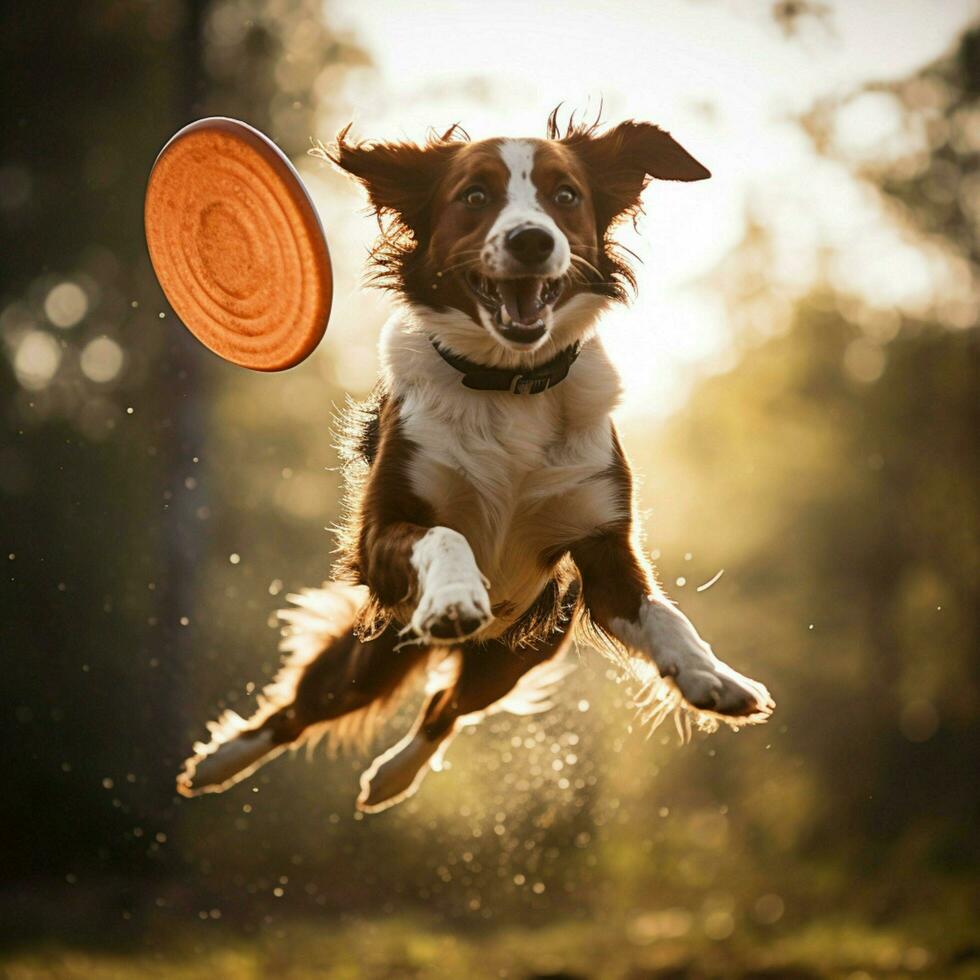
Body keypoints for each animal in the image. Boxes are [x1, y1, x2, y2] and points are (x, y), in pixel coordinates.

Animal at [176, 111, 772, 812]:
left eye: (566, 194)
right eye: (475, 195)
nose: (531, 241)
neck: (508, 384)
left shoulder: (605, 556)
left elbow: (666, 616)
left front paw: (713, 677)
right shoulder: (381, 534)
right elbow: (446, 535)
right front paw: (457, 597)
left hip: (521, 652)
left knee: (448, 705)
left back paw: (391, 776)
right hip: (376, 650)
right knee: (302, 709)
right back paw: (218, 763)